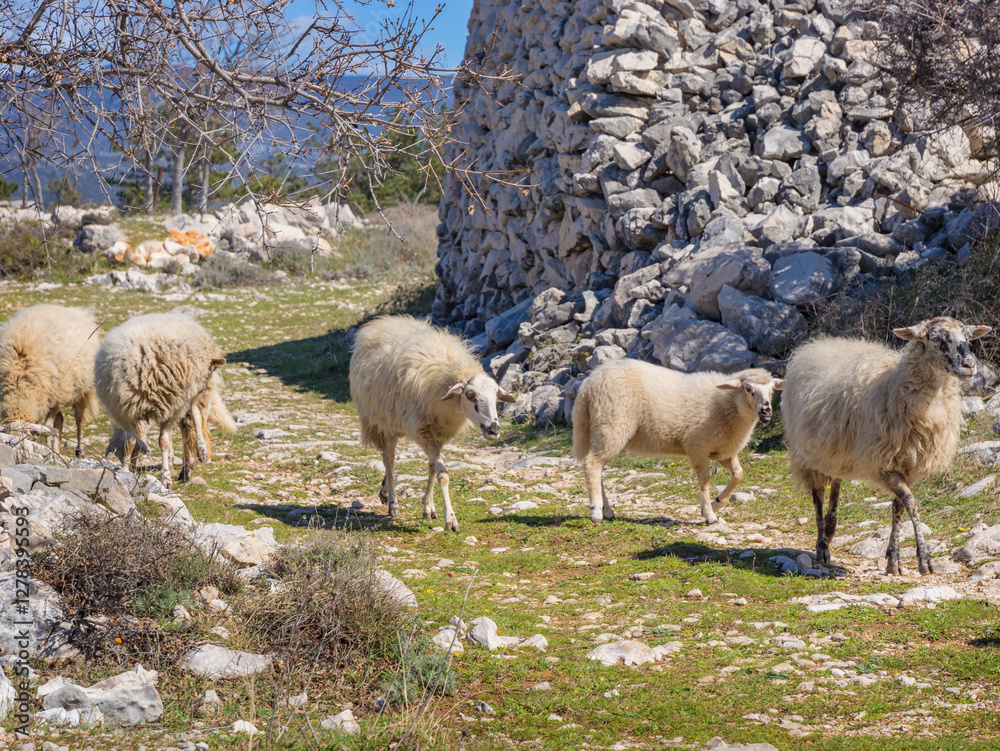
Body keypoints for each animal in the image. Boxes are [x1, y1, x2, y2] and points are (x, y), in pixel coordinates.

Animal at [0, 304, 101, 457]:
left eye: (27, 439)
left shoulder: (55, 396)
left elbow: (46, 427)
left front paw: (48, 451)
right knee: (60, 419)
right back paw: (57, 450)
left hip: (79, 391)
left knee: (78, 420)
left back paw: (79, 451)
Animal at [95, 313, 226, 488]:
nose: (203, 388)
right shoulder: (127, 412)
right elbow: (130, 443)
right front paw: (127, 470)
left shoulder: (172, 408)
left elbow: (164, 441)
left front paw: (166, 478)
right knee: (192, 419)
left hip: (185, 399)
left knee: (195, 420)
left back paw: (200, 452)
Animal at [349, 315, 516, 531]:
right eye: (470, 395)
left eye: (496, 396)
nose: (494, 430)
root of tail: (383, 321)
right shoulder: (424, 430)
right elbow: (442, 474)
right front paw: (450, 519)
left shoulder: (440, 434)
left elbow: (431, 468)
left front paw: (428, 506)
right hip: (384, 422)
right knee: (389, 461)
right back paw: (393, 503)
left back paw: (385, 492)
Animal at [572, 359, 783, 526]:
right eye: (748, 389)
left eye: (773, 390)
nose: (767, 411)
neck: (727, 405)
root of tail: (589, 382)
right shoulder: (698, 448)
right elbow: (705, 480)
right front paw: (709, 514)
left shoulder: (723, 451)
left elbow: (738, 474)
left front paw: (717, 503)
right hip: (612, 425)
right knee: (592, 463)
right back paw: (596, 510)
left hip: (607, 430)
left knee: (598, 467)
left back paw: (607, 510)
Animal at [782, 316, 991, 575]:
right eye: (934, 338)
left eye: (968, 337)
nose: (970, 365)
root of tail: (820, 343)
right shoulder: (883, 465)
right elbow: (911, 503)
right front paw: (924, 559)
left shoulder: (909, 465)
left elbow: (898, 506)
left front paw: (894, 560)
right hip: (807, 452)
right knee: (818, 495)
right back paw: (822, 545)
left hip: (837, 449)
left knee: (837, 481)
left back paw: (831, 528)